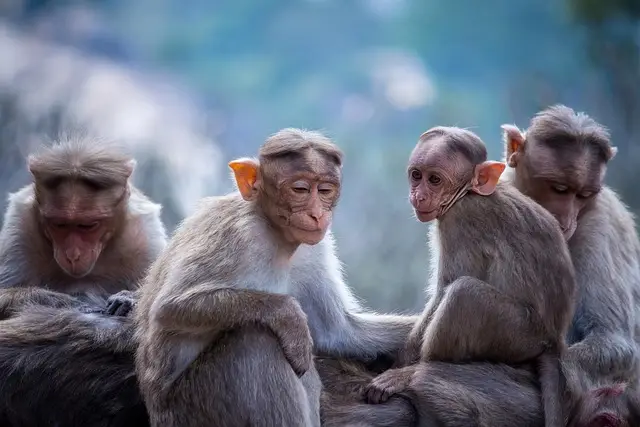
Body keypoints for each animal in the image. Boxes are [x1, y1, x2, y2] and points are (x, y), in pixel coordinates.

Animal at [0, 134, 167, 318]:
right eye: (60, 224)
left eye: (88, 225)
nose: (73, 255)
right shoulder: (19, 225)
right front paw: (65, 302)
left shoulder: (144, 234)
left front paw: (128, 299)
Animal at [134, 128, 418, 427]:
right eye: (300, 189)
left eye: (325, 190)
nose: (317, 214)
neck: (276, 234)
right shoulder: (238, 234)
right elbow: (169, 308)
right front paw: (288, 315)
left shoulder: (314, 249)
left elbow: (338, 332)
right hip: (192, 408)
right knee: (256, 340)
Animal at [363, 126, 576, 427]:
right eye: (416, 175)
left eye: (435, 179)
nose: (419, 196)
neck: (468, 193)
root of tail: (554, 339)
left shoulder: (460, 219)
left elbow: (445, 288)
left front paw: (400, 367)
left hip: (518, 333)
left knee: (465, 293)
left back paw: (414, 374)